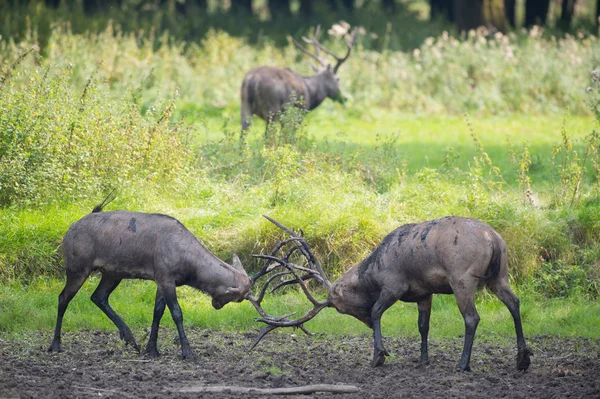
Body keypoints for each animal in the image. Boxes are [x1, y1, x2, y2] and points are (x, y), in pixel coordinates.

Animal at [47, 194, 251, 360]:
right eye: (239, 298)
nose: (216, 305)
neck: (189, 267)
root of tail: (68, 231)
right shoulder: (166, 277)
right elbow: (177, 313)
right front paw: (187, 352)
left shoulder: (162, 279)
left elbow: (157, 312)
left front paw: (151, 349)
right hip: (78, 267)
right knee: (63, 297)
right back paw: (55, 345)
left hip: (113, 273)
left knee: (98, 296)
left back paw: (130, 338)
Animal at [248, 217, 536, 374]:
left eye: (339, 306)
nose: (362, 320)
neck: (373, 275)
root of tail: (493, 238)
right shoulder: (424, 292)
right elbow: (423, 326)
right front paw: (422, 360)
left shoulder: (394, 286)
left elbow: (377, 311)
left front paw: (378, 355)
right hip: (500, 274)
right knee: (514, 302)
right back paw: (522, 359)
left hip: (462, 277)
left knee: (472, 318)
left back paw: (463, 364)